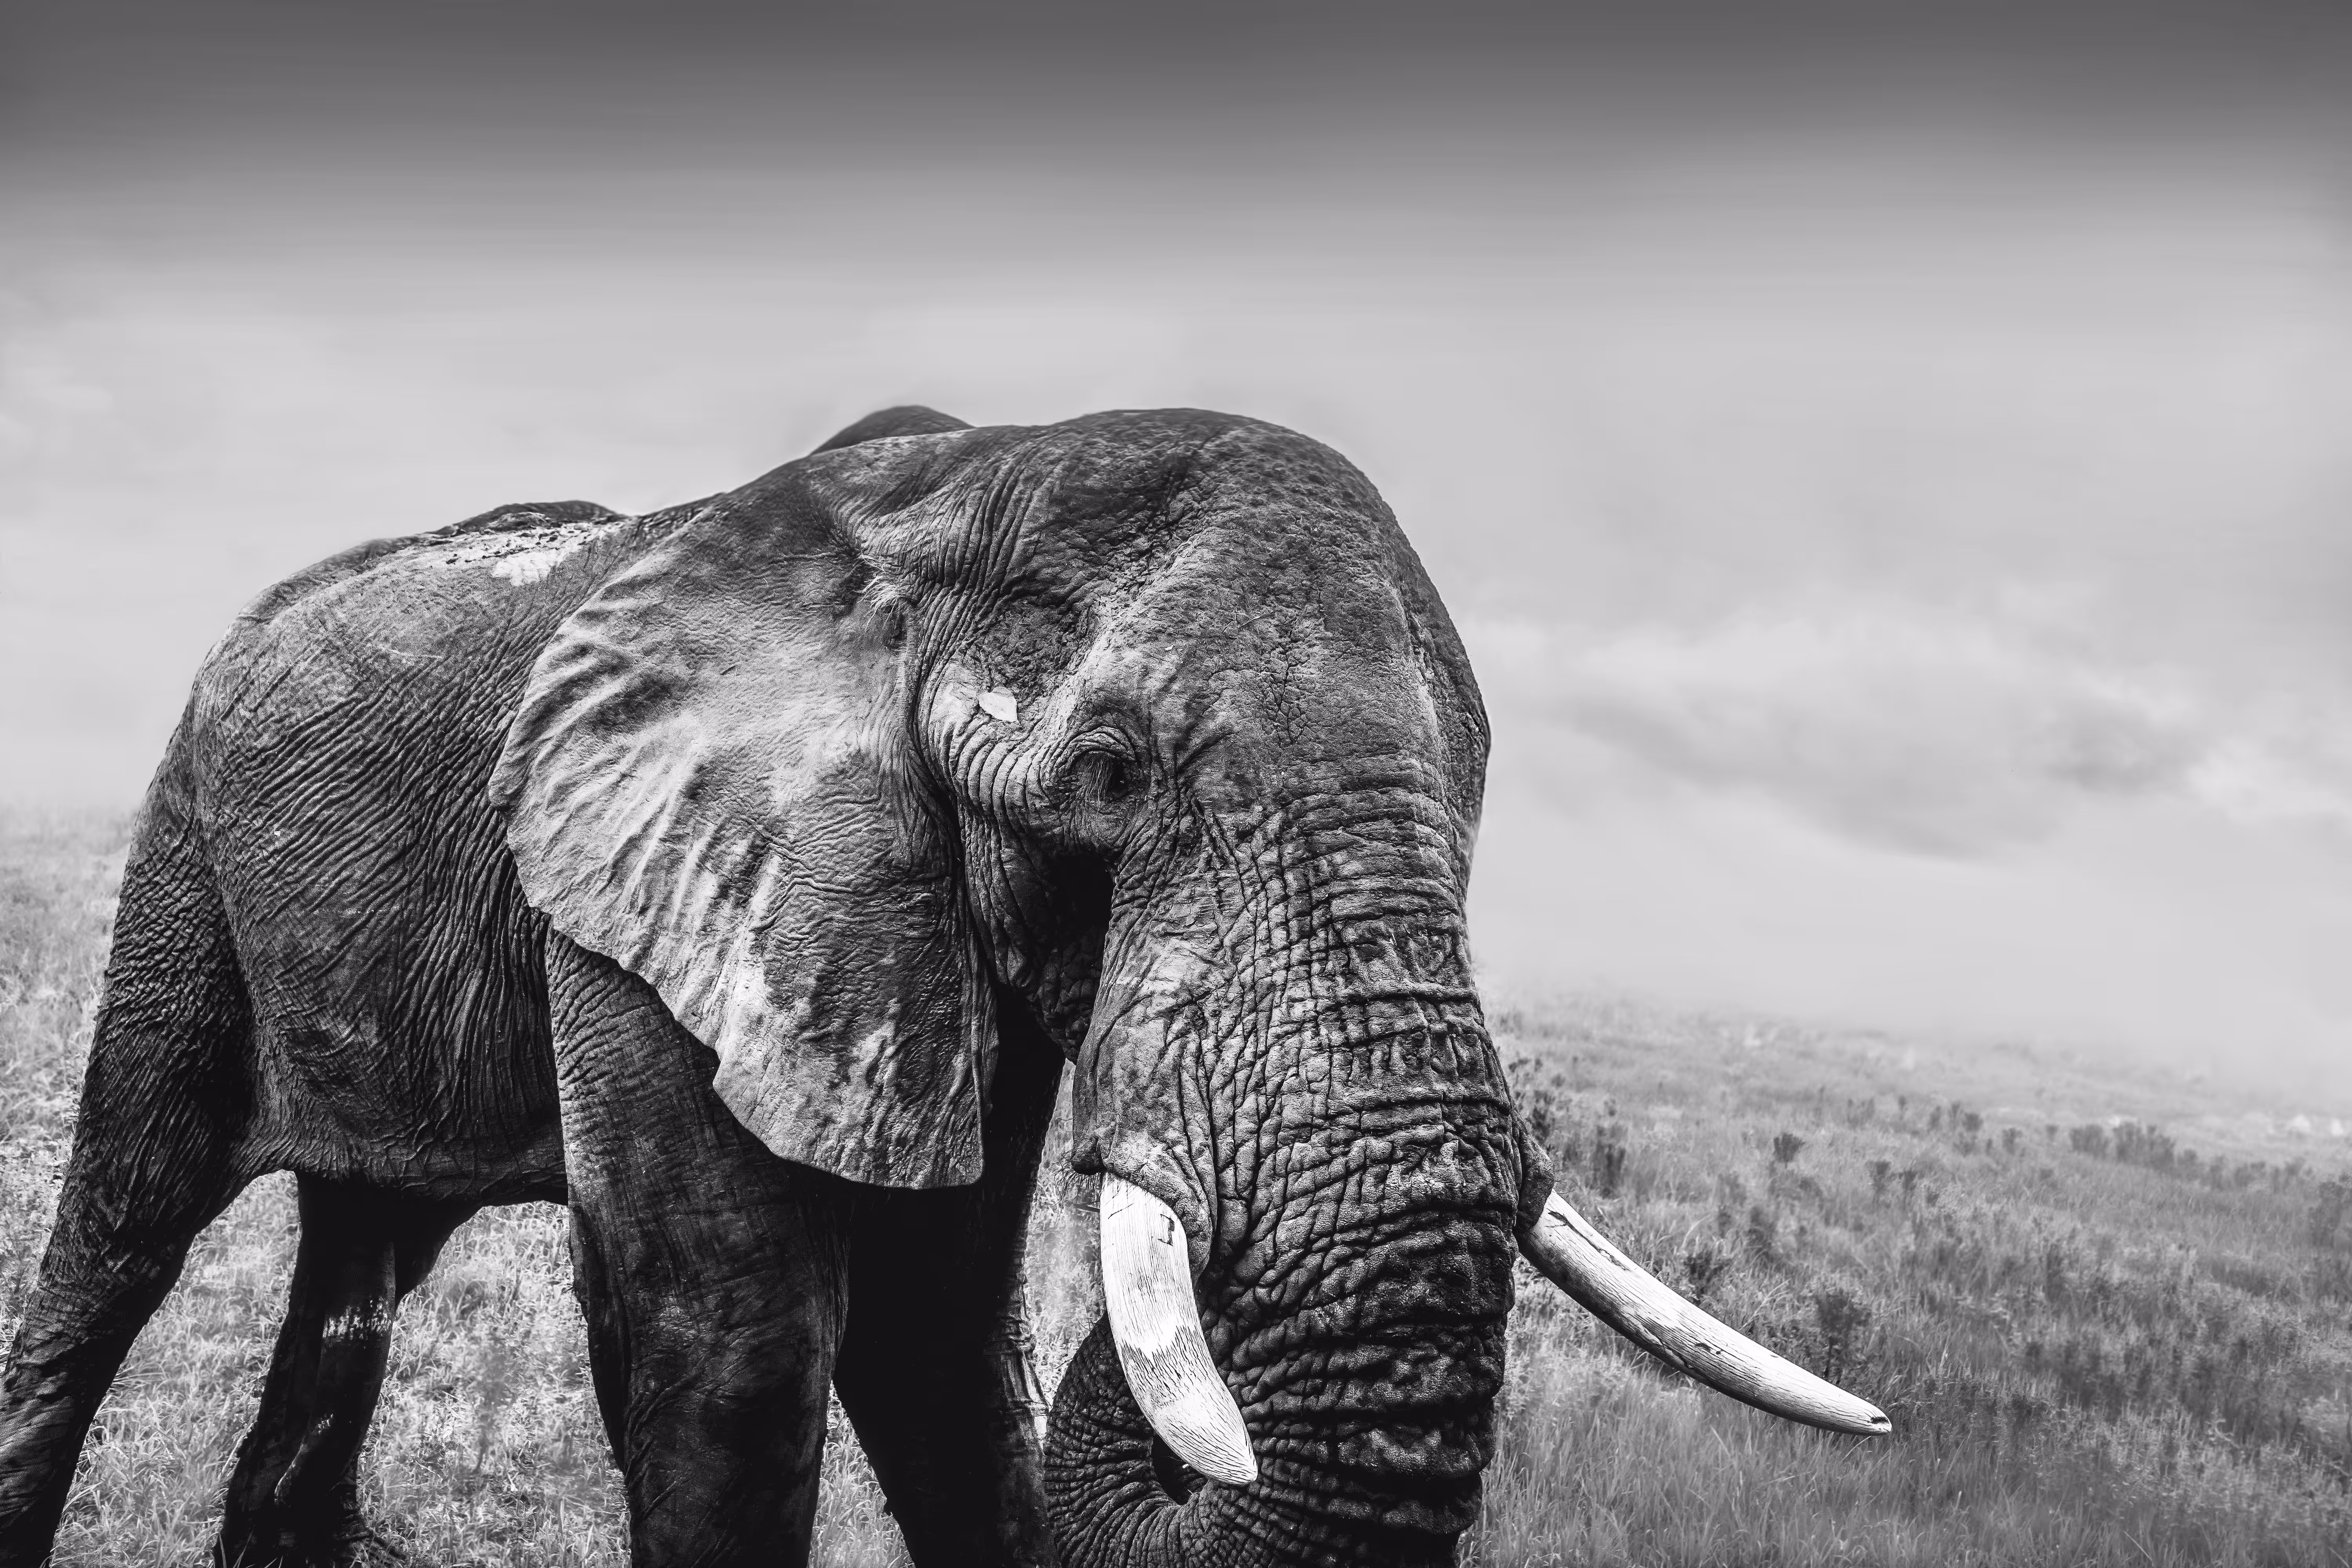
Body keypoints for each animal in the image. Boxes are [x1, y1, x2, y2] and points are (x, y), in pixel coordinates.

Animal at [0, 404, 1885, 1568]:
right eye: (1111, 777)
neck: (965, 491)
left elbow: (929, 1326)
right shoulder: (666, 879)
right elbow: (735, 1342)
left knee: (362, 1257)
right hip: (184, 837)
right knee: (125, 1221)